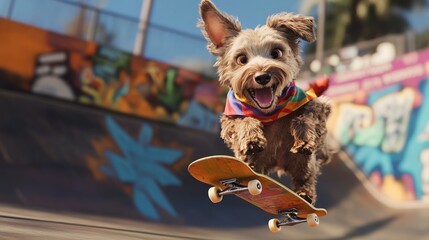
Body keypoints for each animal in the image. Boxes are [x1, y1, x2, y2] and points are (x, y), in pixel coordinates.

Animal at [197, 0, 332, 204]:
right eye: (242, 59)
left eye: (276, 52)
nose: (262, 77)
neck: (270, 112)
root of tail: (277, 165)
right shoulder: (229, 121)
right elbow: (243, 121)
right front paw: (252, 138)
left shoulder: (319, 106)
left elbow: (305, 116)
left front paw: (303, 136)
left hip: (304, 164)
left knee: (305, 176)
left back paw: (304, 195)